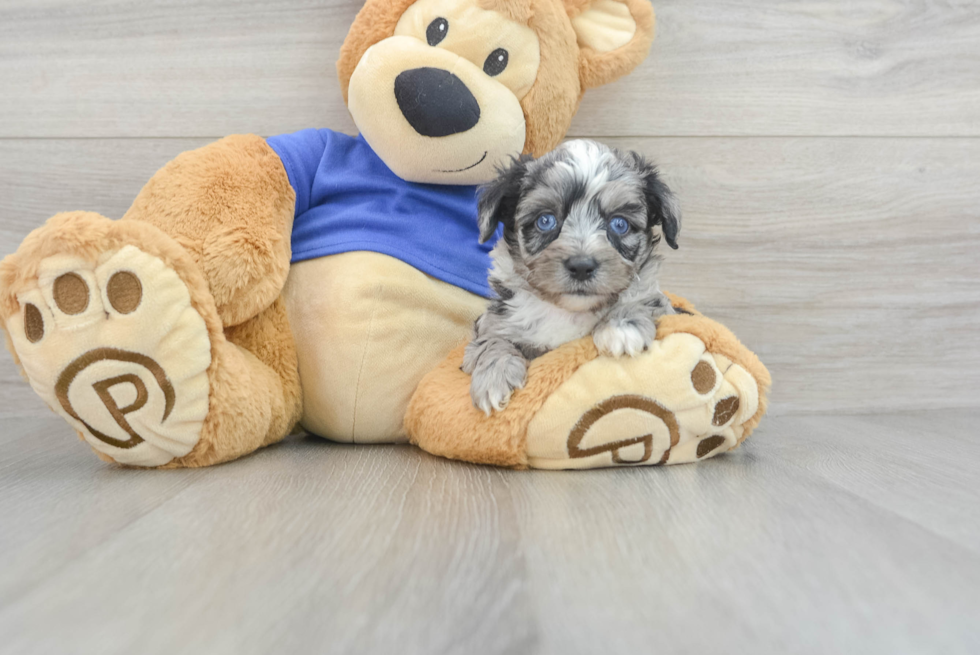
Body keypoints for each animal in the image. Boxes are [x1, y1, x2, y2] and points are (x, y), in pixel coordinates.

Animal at [462, 140, 676, 416]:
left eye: (619, 224)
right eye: (545, 220)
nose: (582, 266)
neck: (567, 310)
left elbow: (640, 300)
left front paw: (621, 327)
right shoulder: (493, 322)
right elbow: (492, 340)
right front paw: (494, 377)